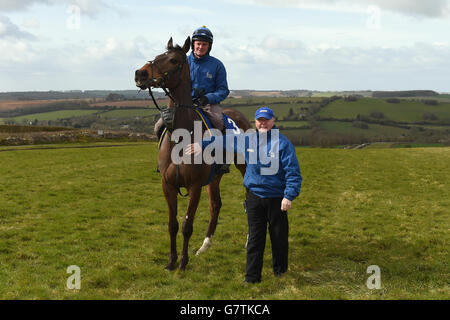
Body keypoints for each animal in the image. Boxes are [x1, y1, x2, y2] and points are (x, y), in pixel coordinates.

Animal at [134, 37, 253, 270]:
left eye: (173, 60)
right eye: (158, 55)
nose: (140, 73)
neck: (181, 136)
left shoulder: (195, 186)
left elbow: (187, 225)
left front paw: (183, 262)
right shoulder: (168, 185)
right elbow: (172, 224)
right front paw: (171, 261)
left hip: (244, 168)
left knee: (249, 201)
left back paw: (247, 241)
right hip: (214, 177)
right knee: (216, 205)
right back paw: (204, 246)